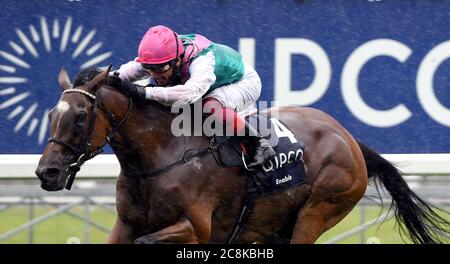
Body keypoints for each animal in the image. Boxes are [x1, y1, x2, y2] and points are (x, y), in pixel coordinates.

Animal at [34, 67, 446, 243]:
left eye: (81, 116)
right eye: (53, 114)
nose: (47, 172)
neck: (161, 156)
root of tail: (349, 139)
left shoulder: (195, 228)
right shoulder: (126, 224)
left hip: (321, 207)